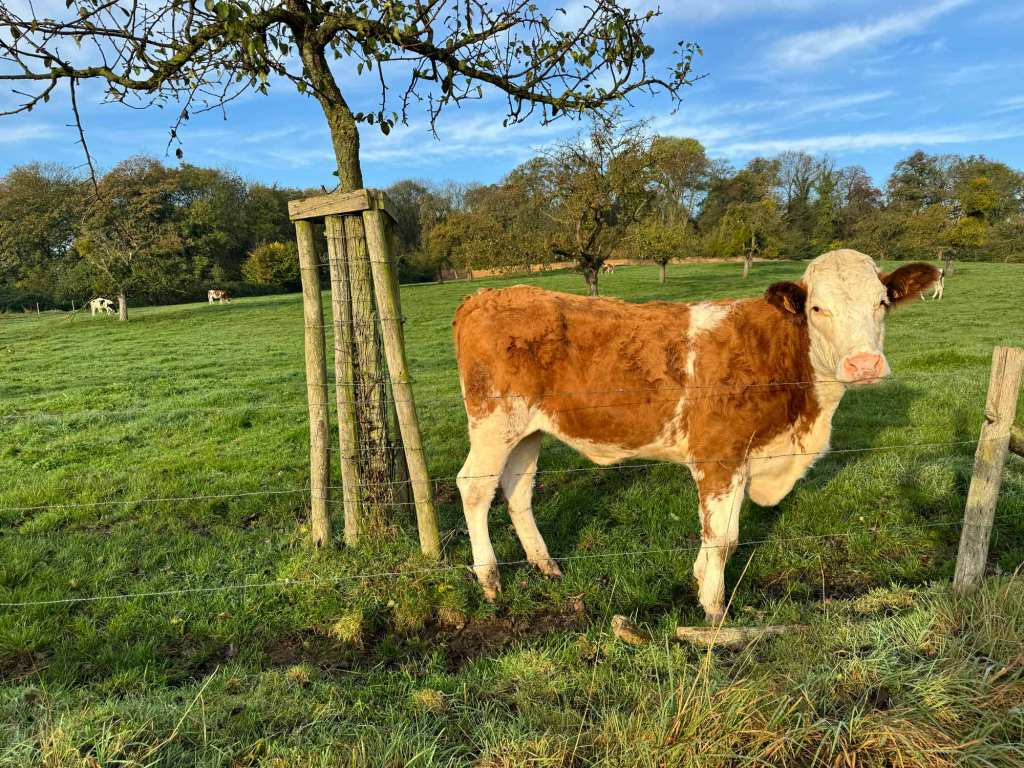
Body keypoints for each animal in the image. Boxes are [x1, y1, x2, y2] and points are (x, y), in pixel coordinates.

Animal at [452, 249, 938, 622]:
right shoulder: (718, 456)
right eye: (818, 308)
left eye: (882, 303)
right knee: (474, 488)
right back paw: (490, 581)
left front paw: (701, 580)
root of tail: (486, 294)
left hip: (528, 429)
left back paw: (545, 564)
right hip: (494, 421)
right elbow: (722, 538)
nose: (864, 364)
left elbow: (726, 536)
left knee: (517, 488)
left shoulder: (743, 457)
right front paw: (713, 609)